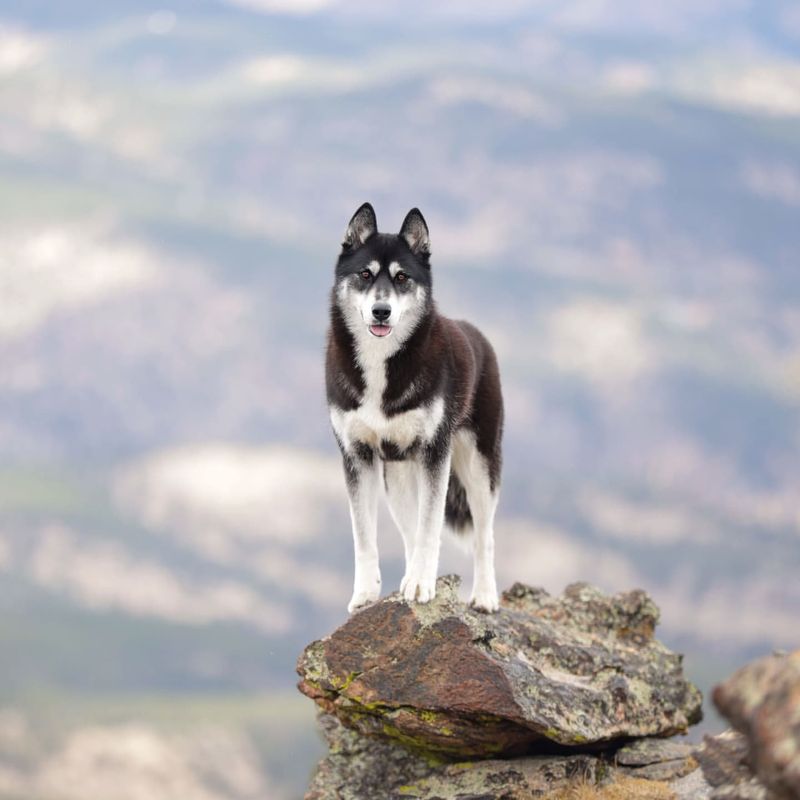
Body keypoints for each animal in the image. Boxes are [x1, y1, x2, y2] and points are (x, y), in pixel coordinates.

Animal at [324, 205, 500, 612]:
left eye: (402, 277)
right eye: (365, 274)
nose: (381, 311)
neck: (381, 363)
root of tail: (478, 336)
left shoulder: (436, 451)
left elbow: (430, 527)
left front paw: (421, 585)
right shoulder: (356, 455)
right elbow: (364, 536)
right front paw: (365, 594)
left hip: (478, 465)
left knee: (484, 534)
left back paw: (484, 596)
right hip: (399, 476)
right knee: (409, 532)